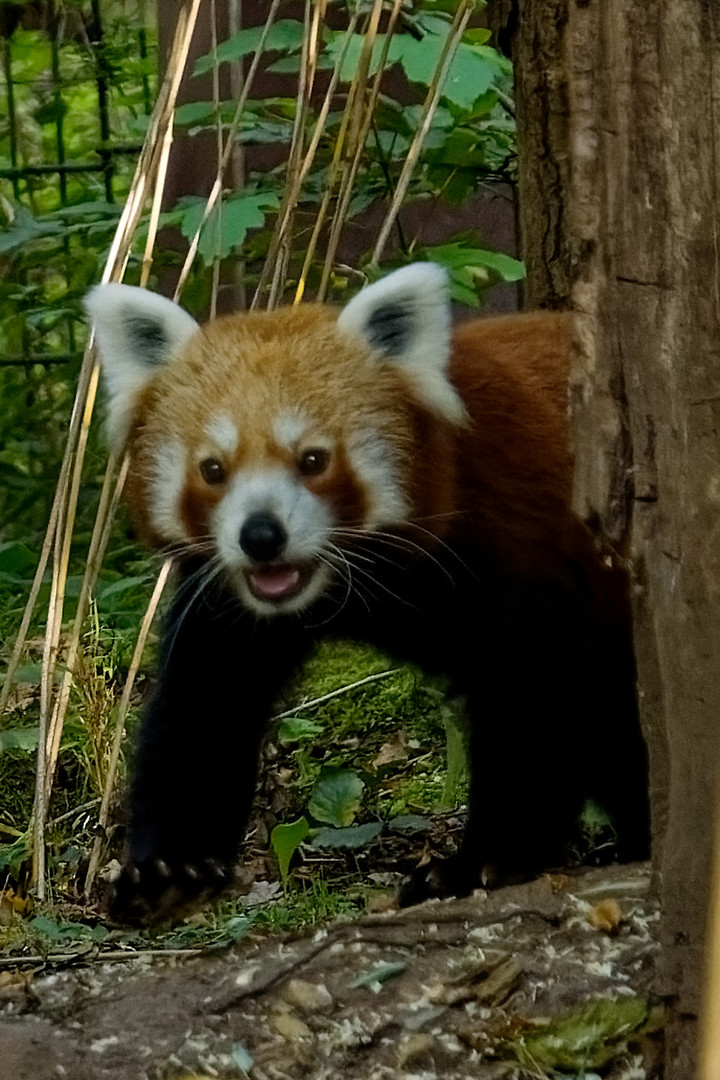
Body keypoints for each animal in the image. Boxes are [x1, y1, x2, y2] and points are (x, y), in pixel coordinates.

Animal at [84, 261, 647, 920]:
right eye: (213, 469)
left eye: (312, 460)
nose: (261, 536)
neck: (356, 585)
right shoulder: (229, 602)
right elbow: (201, 707)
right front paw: (171, 871)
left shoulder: (521, 557)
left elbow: (537, 709)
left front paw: (481, 862)